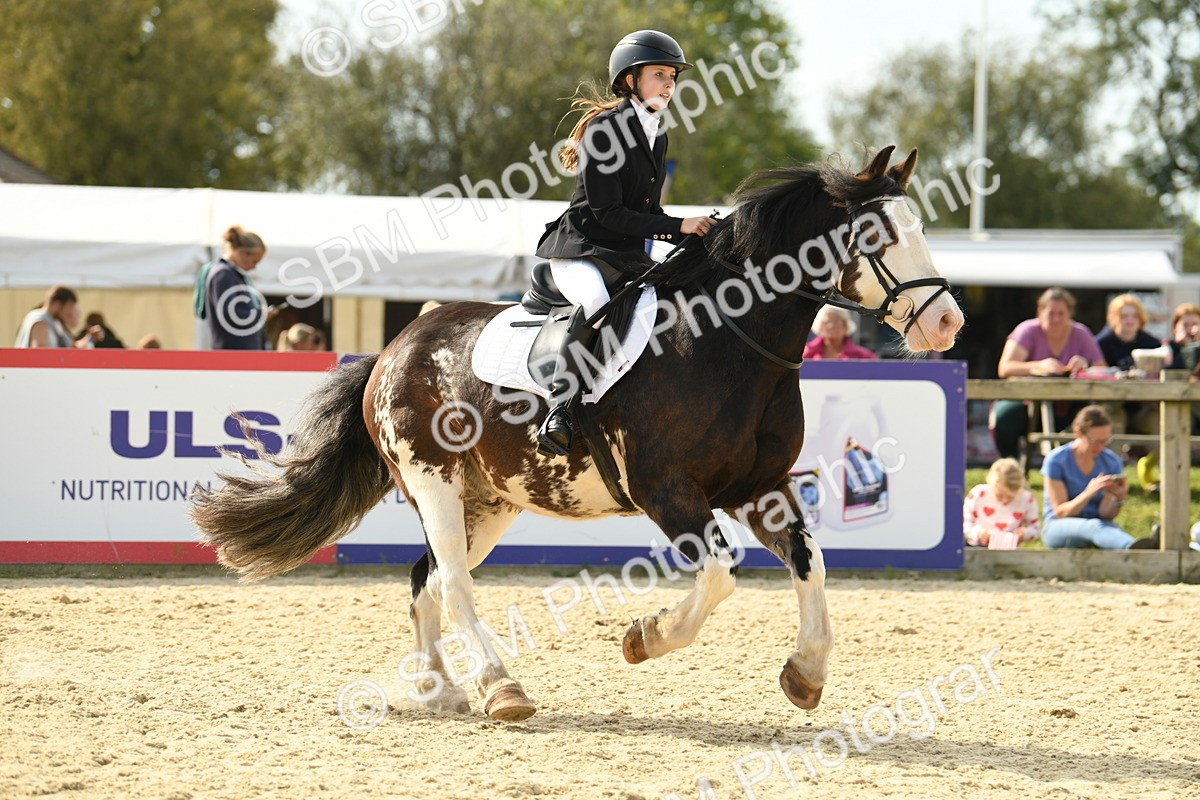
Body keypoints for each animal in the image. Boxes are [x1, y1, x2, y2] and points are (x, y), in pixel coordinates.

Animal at [189, 146, 964, 722]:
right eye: (876, 235)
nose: (948, 323)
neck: (731, 340)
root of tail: (395, 347)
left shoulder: (760, 488)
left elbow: (811, 563)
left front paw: (805, 673)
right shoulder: (665, 489)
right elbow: (719, 575)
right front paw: (645, 638)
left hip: (488, 501)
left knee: (429, 579)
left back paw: (441, 688)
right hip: (432, 482)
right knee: (456, 584)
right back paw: (501, 689)